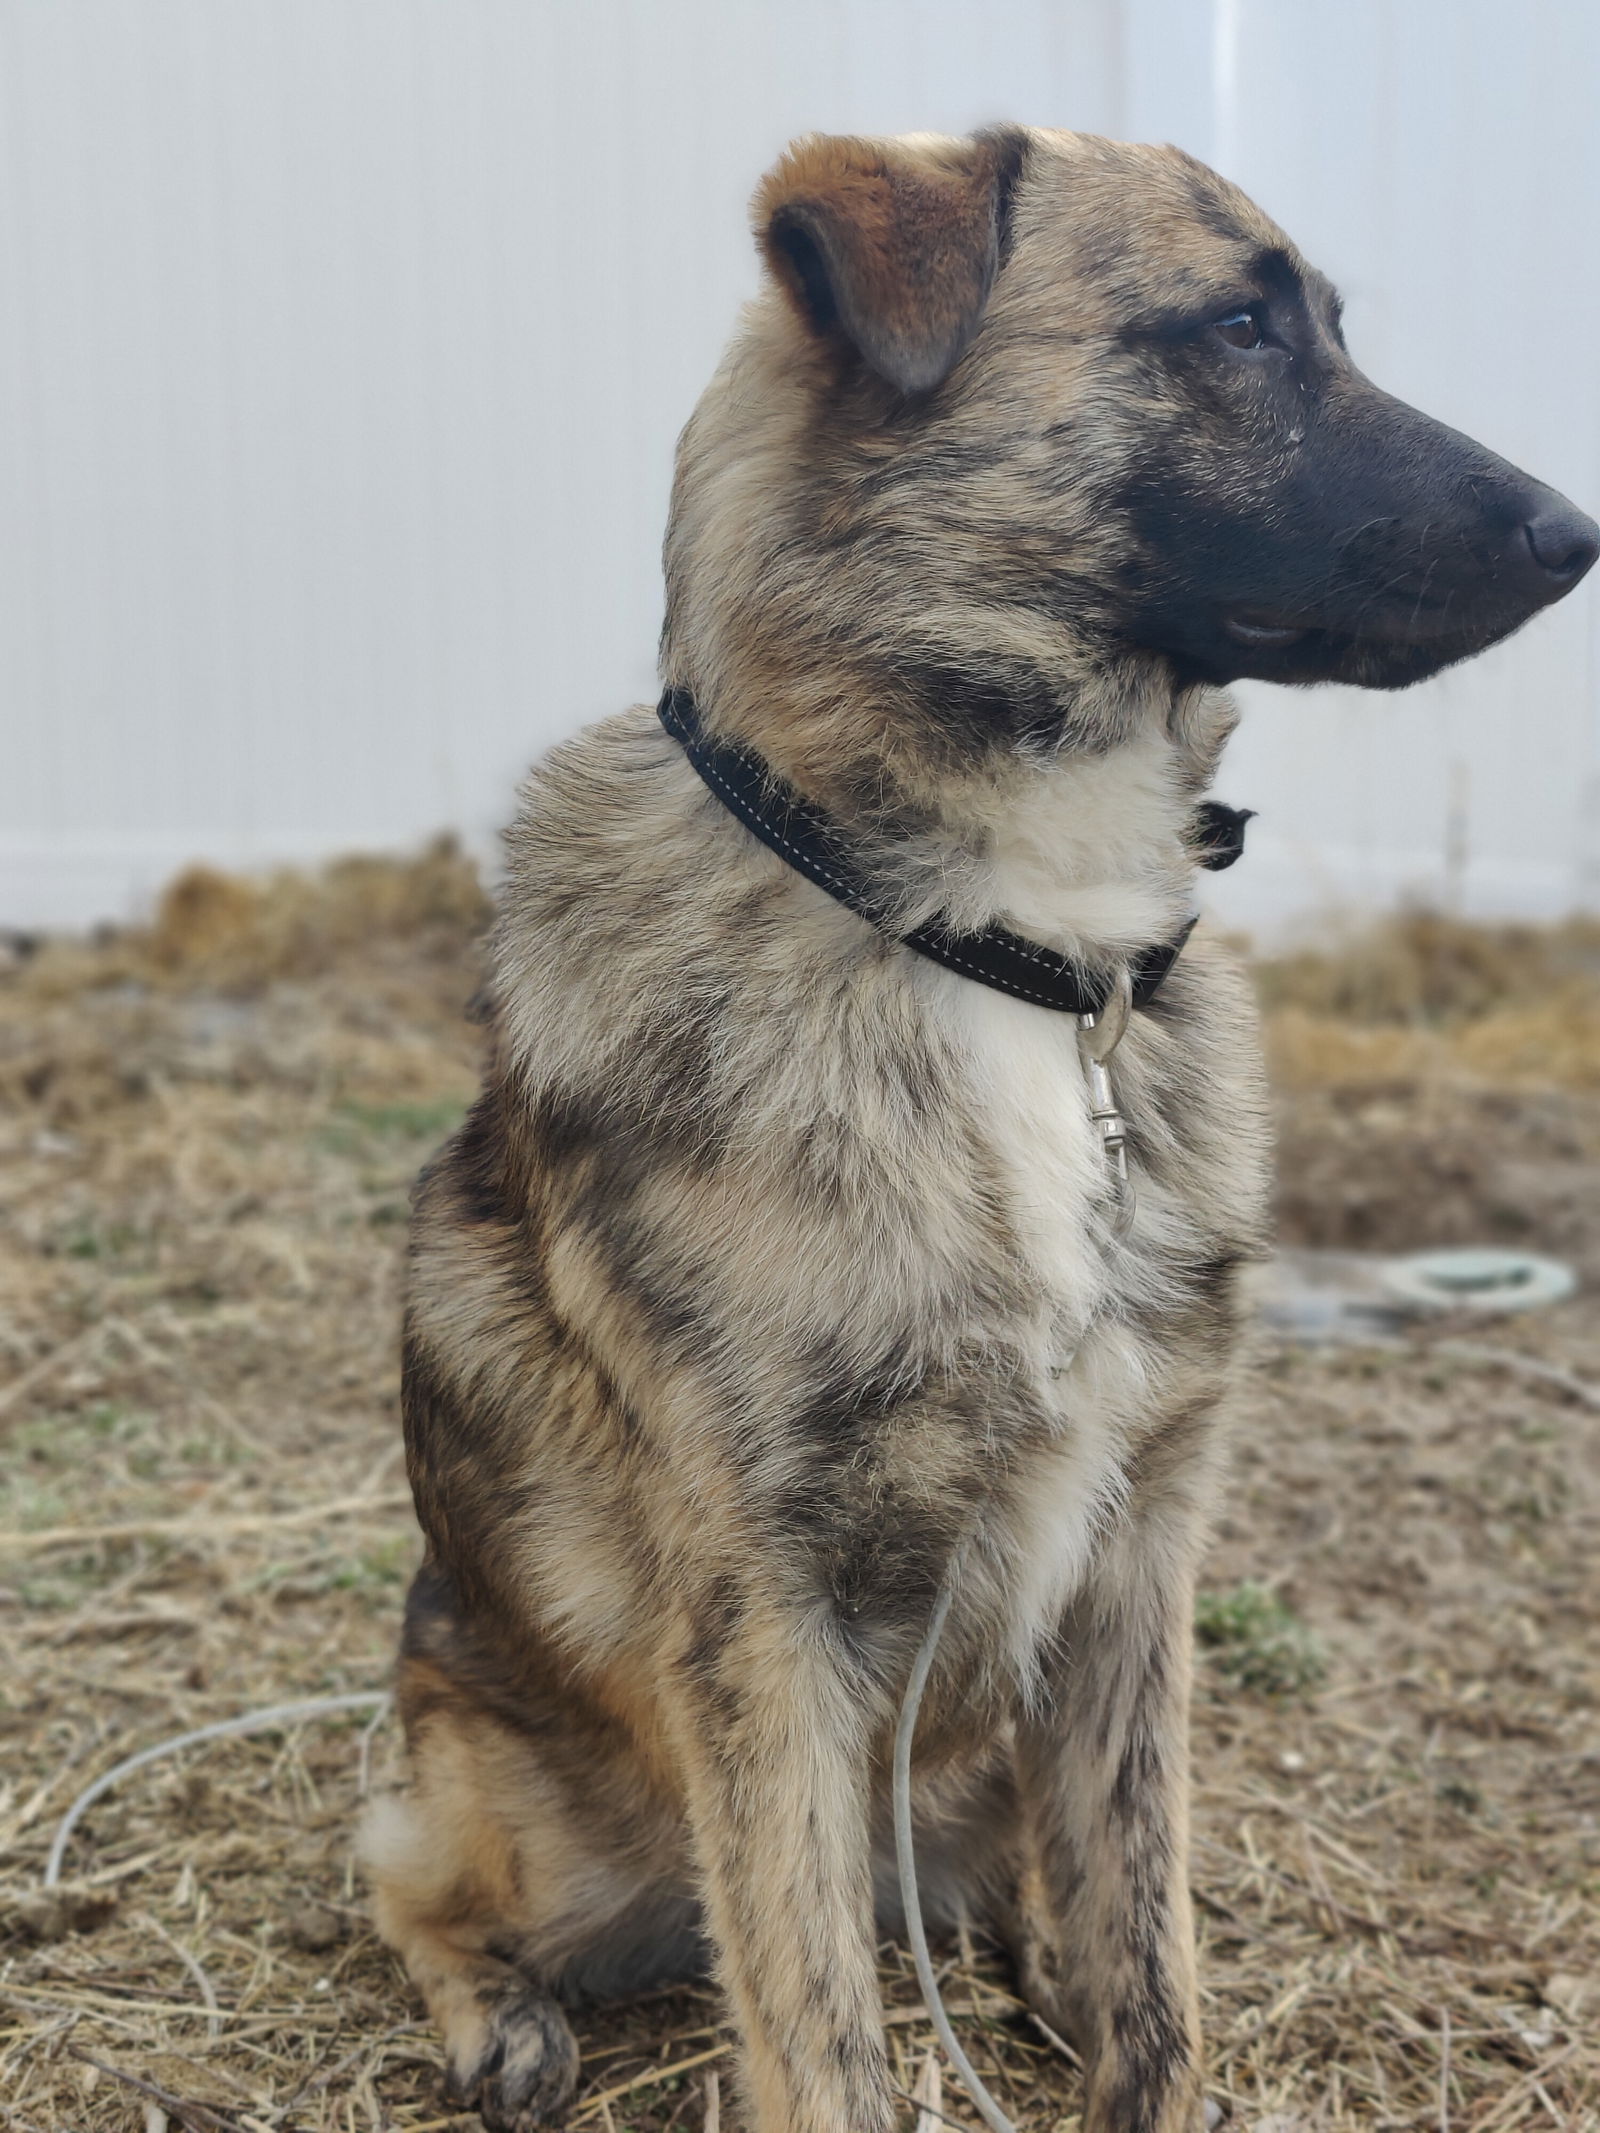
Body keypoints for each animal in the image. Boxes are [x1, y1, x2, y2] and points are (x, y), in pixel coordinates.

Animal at [362, 124, 1600, 2124]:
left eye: (1330, 320)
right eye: (1240, 326)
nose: (1579, 535)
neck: (1012, 949)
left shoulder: (1137, 1570)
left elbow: (1154, 1957)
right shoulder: (764, 1624)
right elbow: (816, 2027)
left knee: (1040, 1880)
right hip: (506, 1790)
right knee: (414, 1882)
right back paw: (499, 2016)